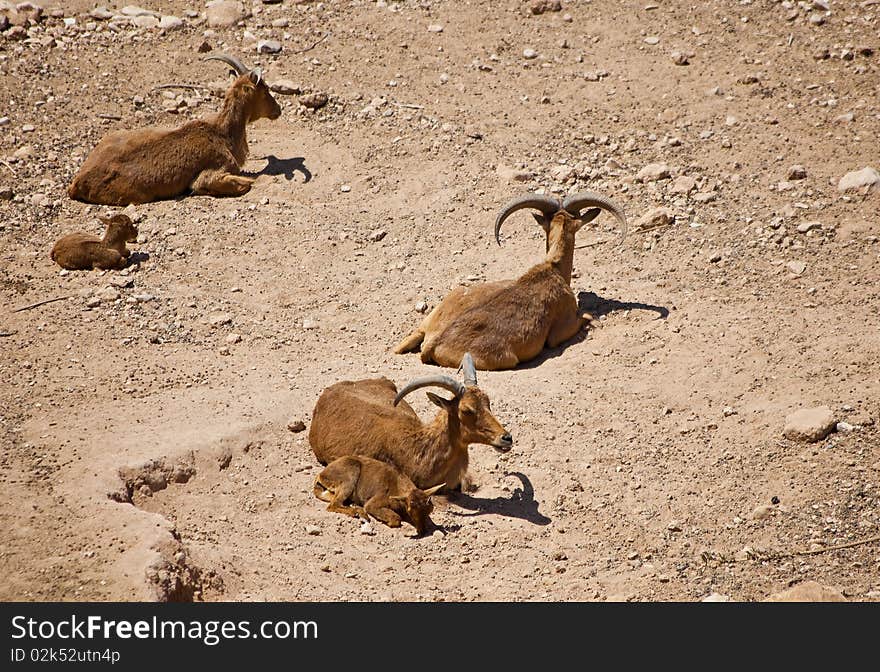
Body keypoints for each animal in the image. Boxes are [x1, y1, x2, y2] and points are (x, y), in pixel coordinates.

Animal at [69, 55, 282, 205]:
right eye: (265, 90)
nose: (278, 109)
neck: (222, 133)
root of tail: (78, 182)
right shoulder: (215, 171)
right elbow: (246, 183)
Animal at [312, 454, 444, 532]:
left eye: (429, 510)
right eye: (411, 510)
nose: (422, 530)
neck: (397, 485)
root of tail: (321, 475)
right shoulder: (373, 503)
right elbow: (397, 518)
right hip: (350, 474)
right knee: (333, 505)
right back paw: (358, 513)